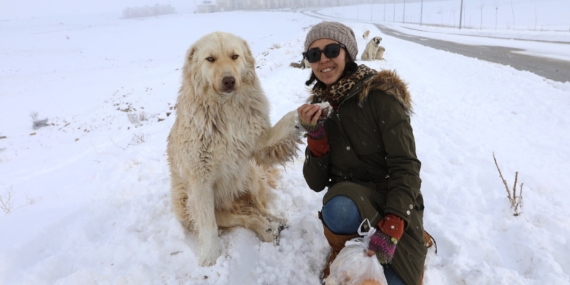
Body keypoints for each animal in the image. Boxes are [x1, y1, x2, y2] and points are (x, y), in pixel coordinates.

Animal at [165, 30, 302, 266]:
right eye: (210, 59)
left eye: (234, 56)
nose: (229, 80)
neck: (225, 110)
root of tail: (234, 202)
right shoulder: (200, 183)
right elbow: (208, 226)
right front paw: (211, 257)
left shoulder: (260, 144)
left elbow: (284, 123)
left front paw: (312, 110)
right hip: (188, 205)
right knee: (245, 218)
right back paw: (267, 230)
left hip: (249, 178)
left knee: (258, 208)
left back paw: (275, 220)